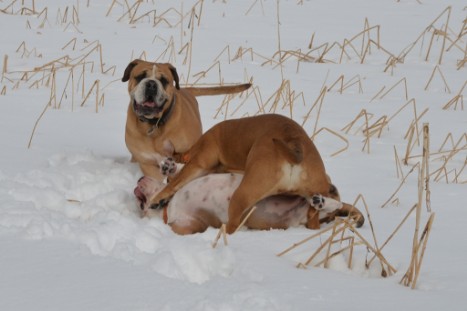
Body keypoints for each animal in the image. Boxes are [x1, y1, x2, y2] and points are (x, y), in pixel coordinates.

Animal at [144, 114, 364, 234]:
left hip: (242, 194)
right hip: (315, 187)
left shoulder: (200, 163)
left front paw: (157, 196)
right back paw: (321, 202)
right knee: (316, 217)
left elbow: (174, 183)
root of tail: (294, 143)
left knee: (233, 226)